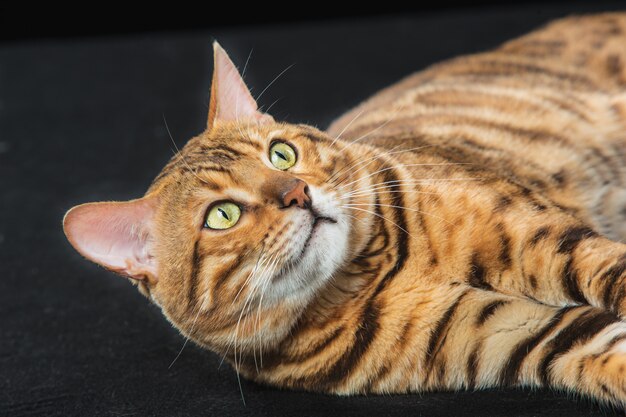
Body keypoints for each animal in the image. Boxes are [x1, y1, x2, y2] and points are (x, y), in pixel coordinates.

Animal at [64, 12, 626, 406]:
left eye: (281, 154)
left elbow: (611, 273)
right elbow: (604, 344)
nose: (296, 192)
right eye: (222, 215)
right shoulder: (510, 329)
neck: (373, 278)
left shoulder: (537, 234)